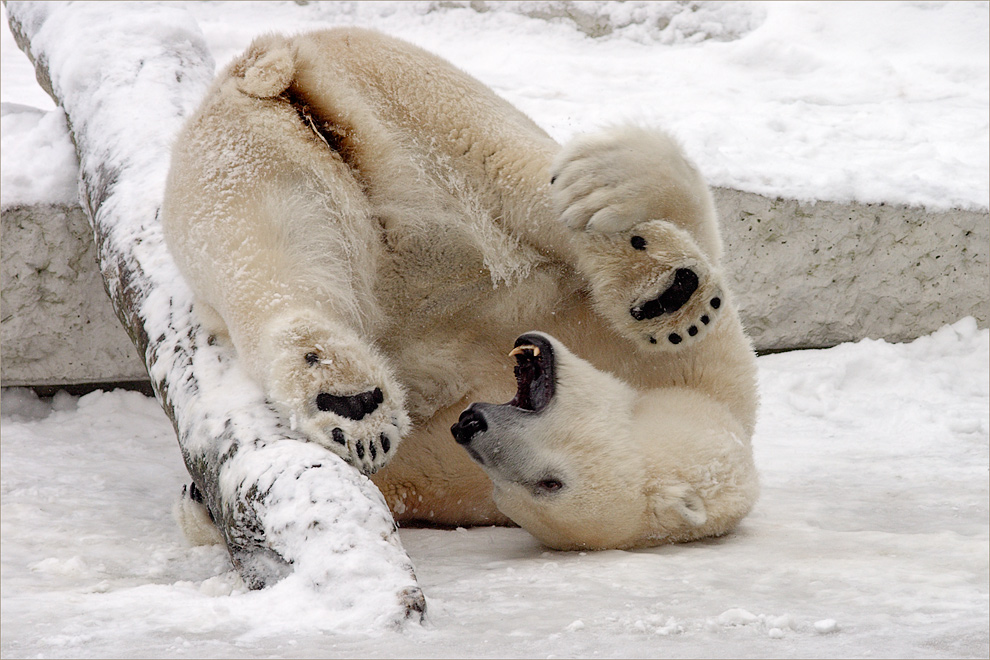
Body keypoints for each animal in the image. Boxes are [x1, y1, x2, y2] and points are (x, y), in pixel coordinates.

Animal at [163, 27, 760, 552]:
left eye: (548, 484)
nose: (475, 423)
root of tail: (271, 67)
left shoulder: (456, 476)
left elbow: (404, 471)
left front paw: (204, 506)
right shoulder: (703, 367)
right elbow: (704, 248)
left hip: (258, 148)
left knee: (260, 237)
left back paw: (345, 397)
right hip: (402, 88)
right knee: (502, 162)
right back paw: (652, 276)